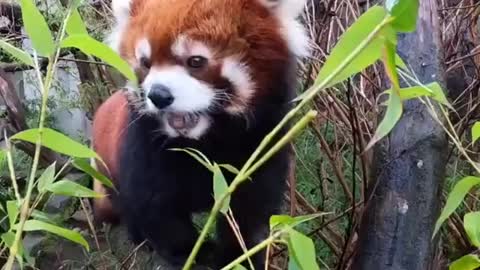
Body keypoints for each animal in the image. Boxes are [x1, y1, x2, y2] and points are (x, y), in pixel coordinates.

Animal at [92, 0, 310, 268]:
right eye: (145, 63)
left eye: (196, 61)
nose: (158, 95)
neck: (204, 142)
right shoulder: (144, 147)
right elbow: (155, 207)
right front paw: (191, 252)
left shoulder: (260, 144)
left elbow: (249, 209)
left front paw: (238, 255)